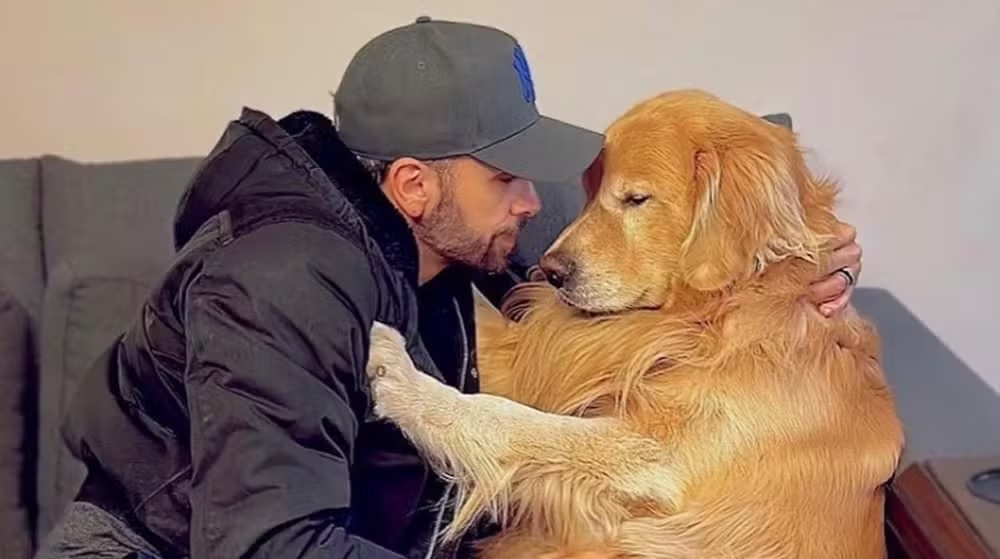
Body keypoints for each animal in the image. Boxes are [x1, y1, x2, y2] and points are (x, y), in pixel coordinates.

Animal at [368, 89, 908, 556]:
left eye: (636, 199)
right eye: (591, 194)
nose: (551, 271)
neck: (713, 319)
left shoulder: (656, 457)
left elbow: (511, 419)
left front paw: (402, 380)